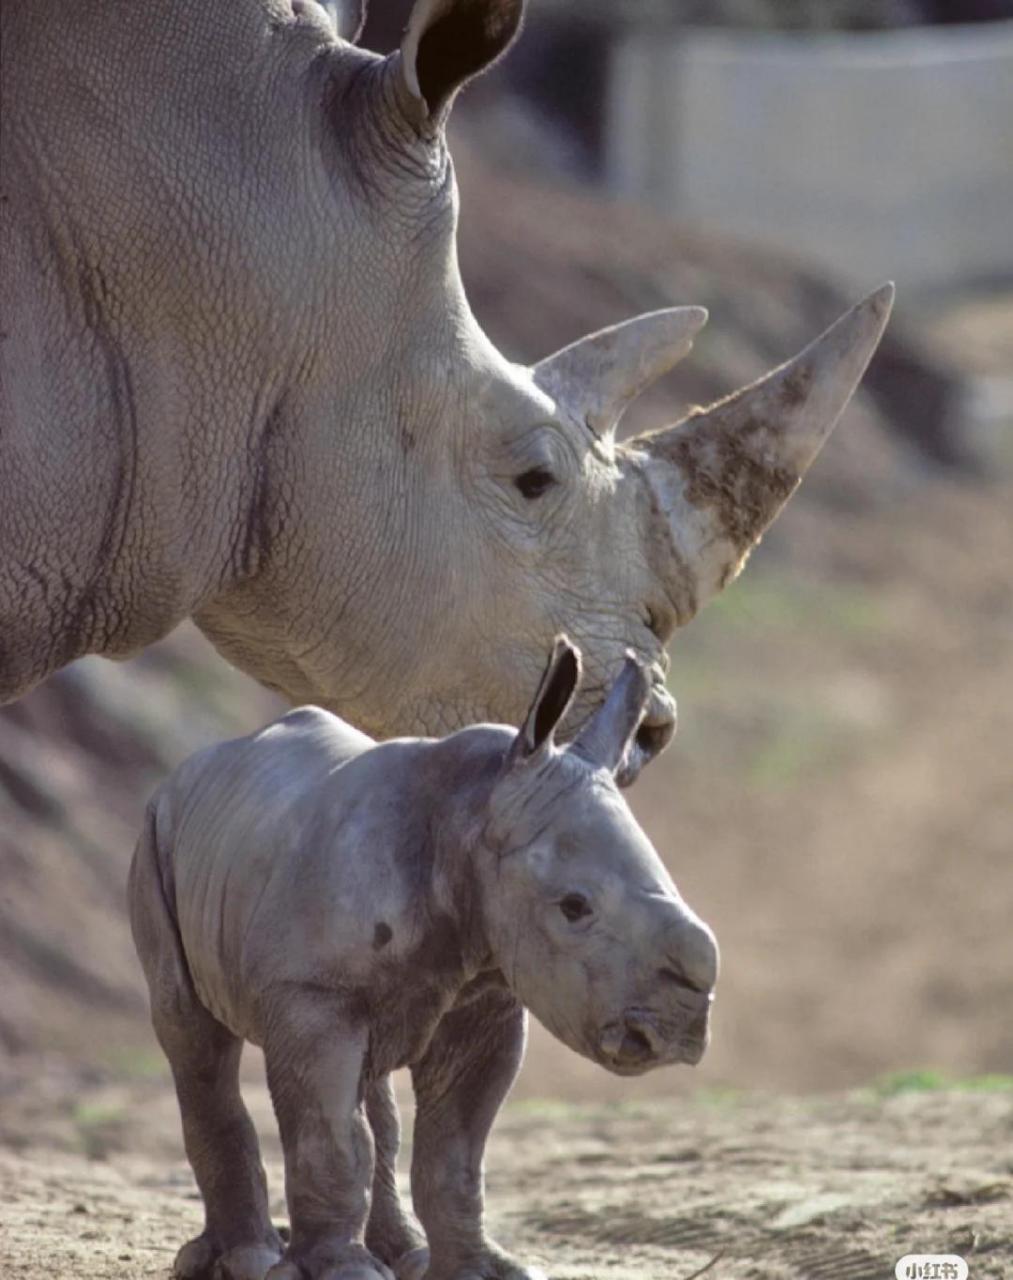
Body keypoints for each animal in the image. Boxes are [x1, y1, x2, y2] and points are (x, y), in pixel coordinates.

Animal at [132, 645, 722, 1280]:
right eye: (573, 907)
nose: (679, 1029)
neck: (472, 813)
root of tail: (196, 766)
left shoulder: (487, 998)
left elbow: (455, 1151)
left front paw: (482, 1271)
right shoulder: (313, 992)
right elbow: (331, 1135)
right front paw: (340, 1273)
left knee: (372, 1093)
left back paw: (403, 1257)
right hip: (156, 834)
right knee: (194, 1040)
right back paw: (245, 1258)